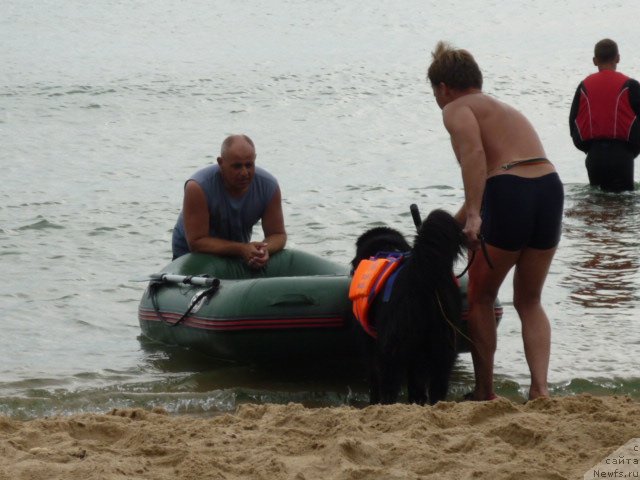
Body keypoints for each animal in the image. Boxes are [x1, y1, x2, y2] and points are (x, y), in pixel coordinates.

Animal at [350, 209, 464, 404]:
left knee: (389, 386)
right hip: (443, 347)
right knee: (437, 388)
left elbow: (373, 378)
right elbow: (416, 385)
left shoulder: (368, 343)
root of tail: (421, 274)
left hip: (393, 347)